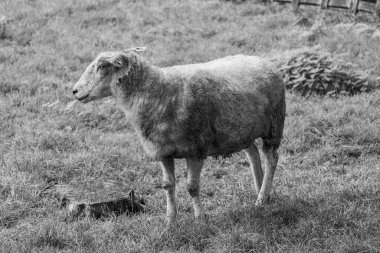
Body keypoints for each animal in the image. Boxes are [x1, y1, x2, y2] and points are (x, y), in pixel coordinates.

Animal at [72, 47, 284, 225]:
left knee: (271, 158)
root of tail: (263, 60)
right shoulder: (163, 152)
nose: (74, 91)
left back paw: (262, 197)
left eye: (102, 66)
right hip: (242, 130)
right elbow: (168, 185)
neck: (160, 92)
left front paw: (200, 218)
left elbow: (191, 187)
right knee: (253, 153)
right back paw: (261, 192)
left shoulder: (196, 149)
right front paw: (170, 221)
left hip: (274, 125)